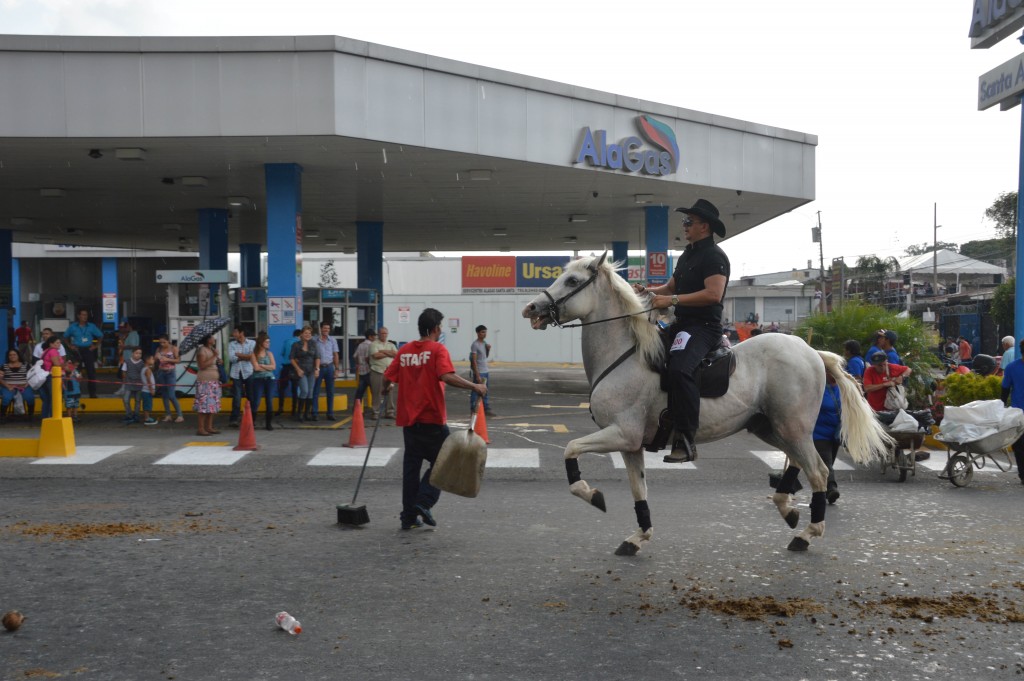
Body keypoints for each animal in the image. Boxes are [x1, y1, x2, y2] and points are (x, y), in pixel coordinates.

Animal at [524, 251, 892, 557]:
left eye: (573, 281)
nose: (531, 309)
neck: (625, 355)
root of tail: (811, 351)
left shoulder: (622, 434)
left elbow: (570, 449)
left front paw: (591, 494)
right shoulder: (631, 445)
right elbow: (638, 489)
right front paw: (638, 537)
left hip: (793, 426)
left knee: (818, 471)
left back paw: (806, 533)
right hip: (770, 427)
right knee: (800, 464)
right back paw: (787, 507)